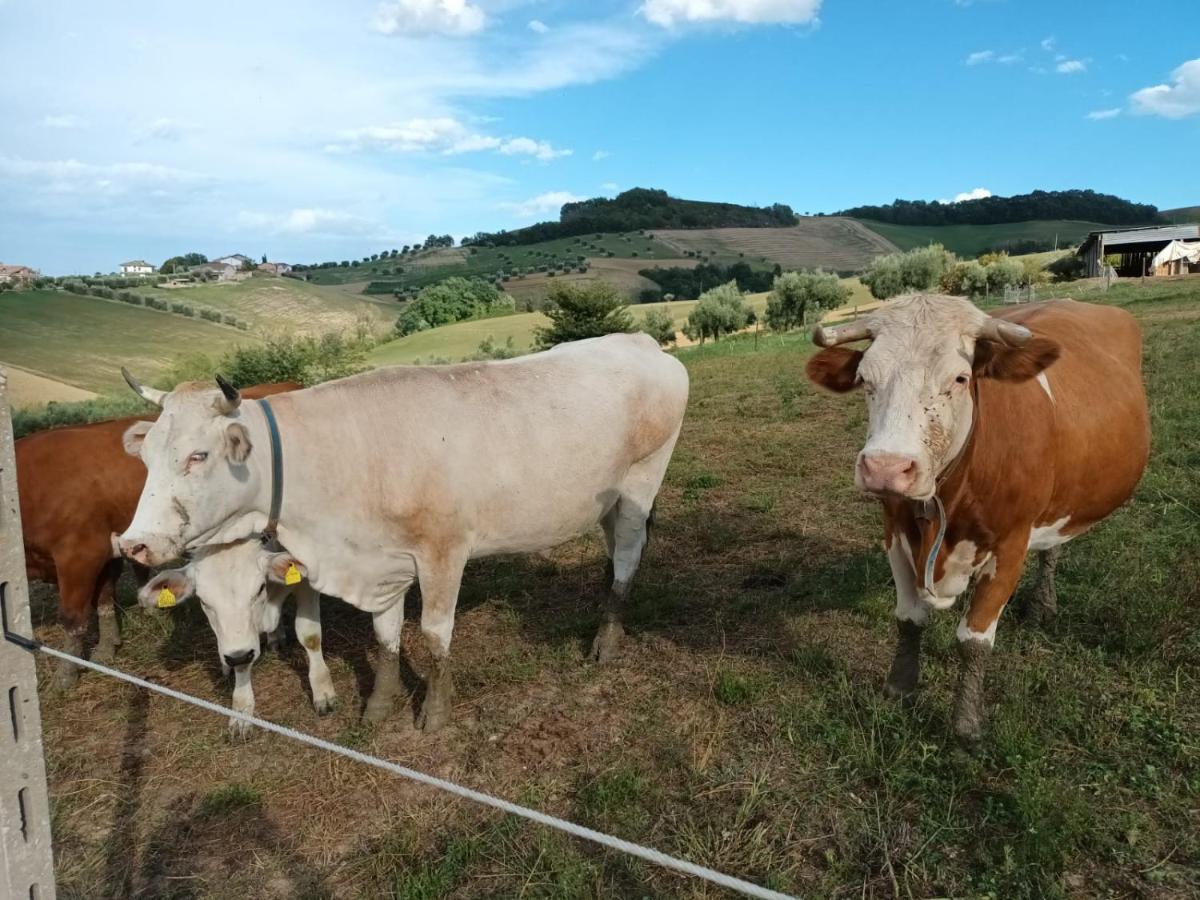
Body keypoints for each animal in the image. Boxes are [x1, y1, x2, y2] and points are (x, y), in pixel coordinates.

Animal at [139, 535, 338, 739]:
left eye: (259, 589)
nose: (238, 656)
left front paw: (323, 692)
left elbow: (310, 636)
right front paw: (241, 712)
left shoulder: (306, 582)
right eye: (203, 601)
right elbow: (241, 666)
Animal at [811, 296, 1147, 739]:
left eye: (959, 378)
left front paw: (965, 724)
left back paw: (1041, 604)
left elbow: (973, 641)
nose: (885, 468)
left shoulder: (1010, 546)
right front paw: (899, 689)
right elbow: (908, 619)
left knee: (1052, 547)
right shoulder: (894, 533)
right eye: (865, 378)